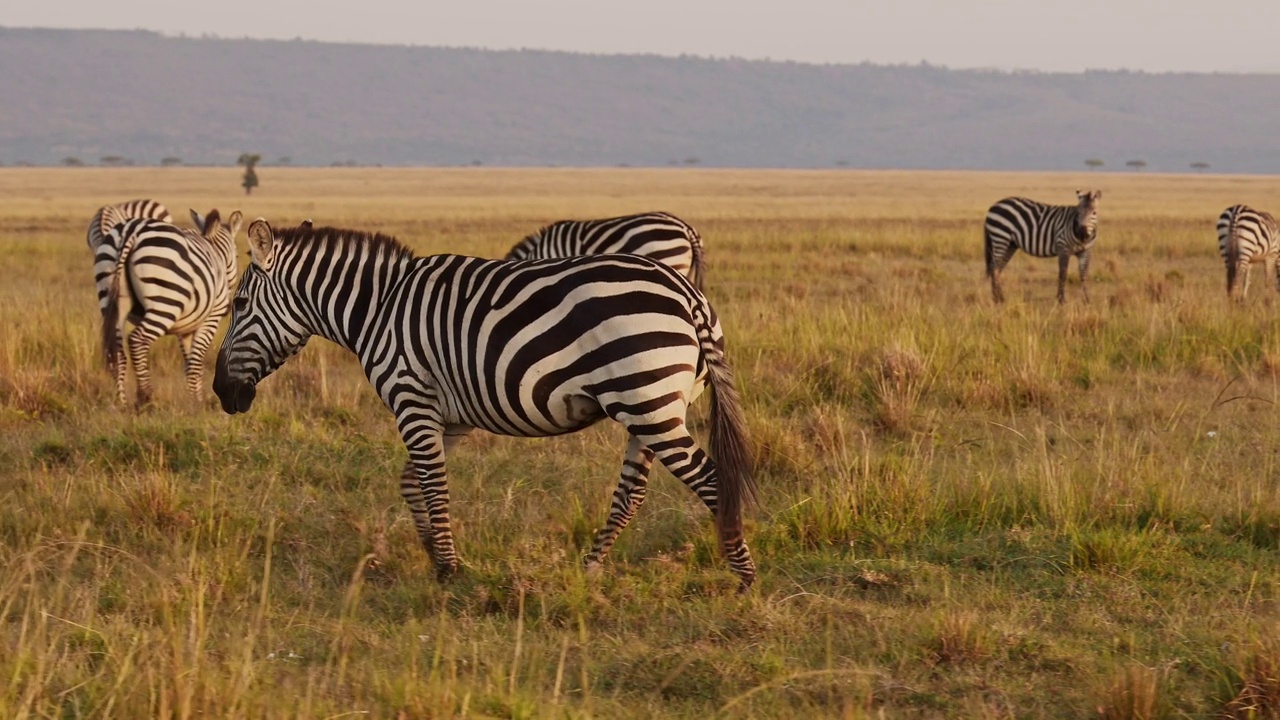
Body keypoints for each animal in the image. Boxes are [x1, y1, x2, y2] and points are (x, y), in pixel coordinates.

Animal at [103, 207, 241, 404]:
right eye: (237, 255)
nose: (228, 308)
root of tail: (131, 231)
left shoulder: (186, 328)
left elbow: (190, 364)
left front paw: (194, 398)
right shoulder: (210, 320)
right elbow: (196, 362)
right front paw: (196, 403)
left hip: (110, 298)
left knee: (117, 353)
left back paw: (121, 402)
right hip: (165, 303)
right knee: (137, 340)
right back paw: (145, 397)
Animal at [215, 220, 757, 589]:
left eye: (238, 305)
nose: (222, 393)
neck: (377, 309)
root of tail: (687, 294)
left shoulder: (411, 398)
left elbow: (433, 485)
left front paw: (451, 568)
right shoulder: (450, 416)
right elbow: (411, 482)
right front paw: (434, 555)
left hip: (649, 402)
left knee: (712, 481)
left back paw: (743, 576)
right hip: (650, 406)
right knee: (631, 493)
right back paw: (589, 569)